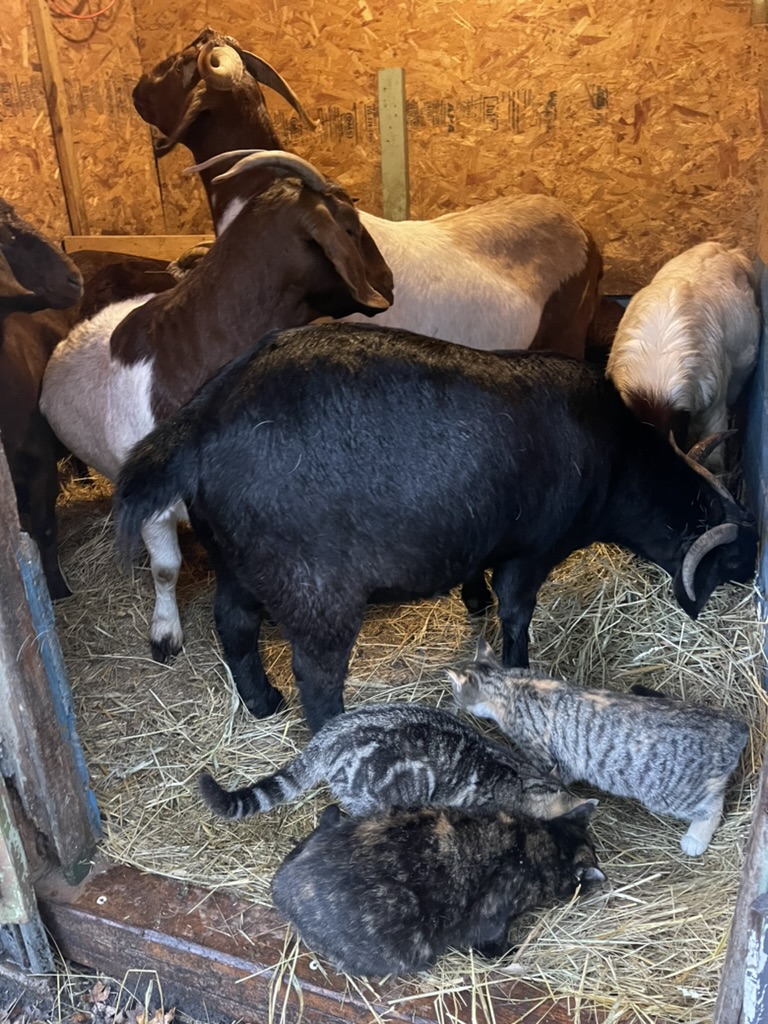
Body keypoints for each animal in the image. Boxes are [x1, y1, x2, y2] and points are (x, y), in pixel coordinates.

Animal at [114, 322, 757, 734]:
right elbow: (516, 613)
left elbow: (479, 578)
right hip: (314, 587)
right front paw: (518, 666)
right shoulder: (534, 548)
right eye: (731, 555)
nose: (753, 571)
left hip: (237, 561)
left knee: (234, 625)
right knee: (316, 678)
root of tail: (199, 425)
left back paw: (263, 702)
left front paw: (472, 600)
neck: (619, 462)